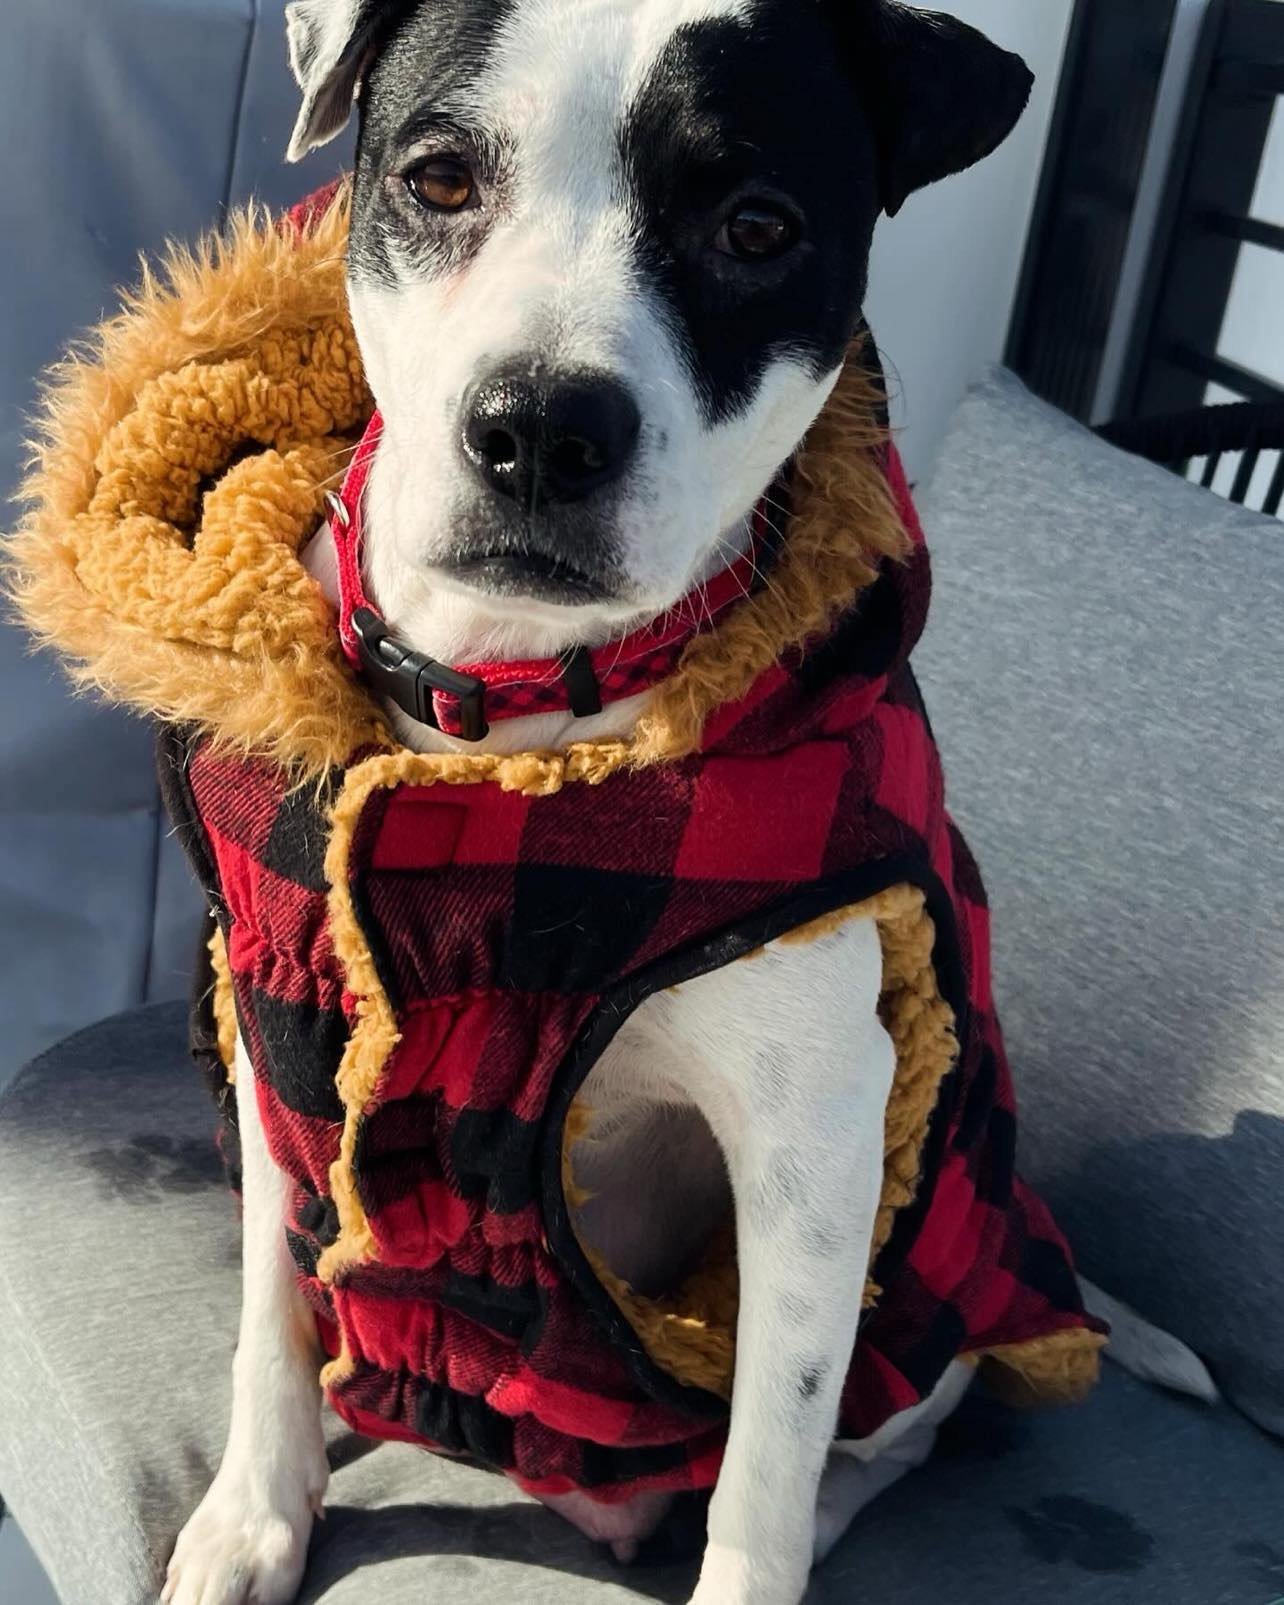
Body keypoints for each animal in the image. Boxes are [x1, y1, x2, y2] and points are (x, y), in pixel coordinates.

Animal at [165, 3, 1040, 1605]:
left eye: (757, 226)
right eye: (440, 179)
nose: (540, 428)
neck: (513, 724)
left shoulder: (819, 1147)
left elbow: (767, 1467)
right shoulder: (281, 1043)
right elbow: (273, 1303)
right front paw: (252, 1519)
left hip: (934, 1254)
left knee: (888, 1433)